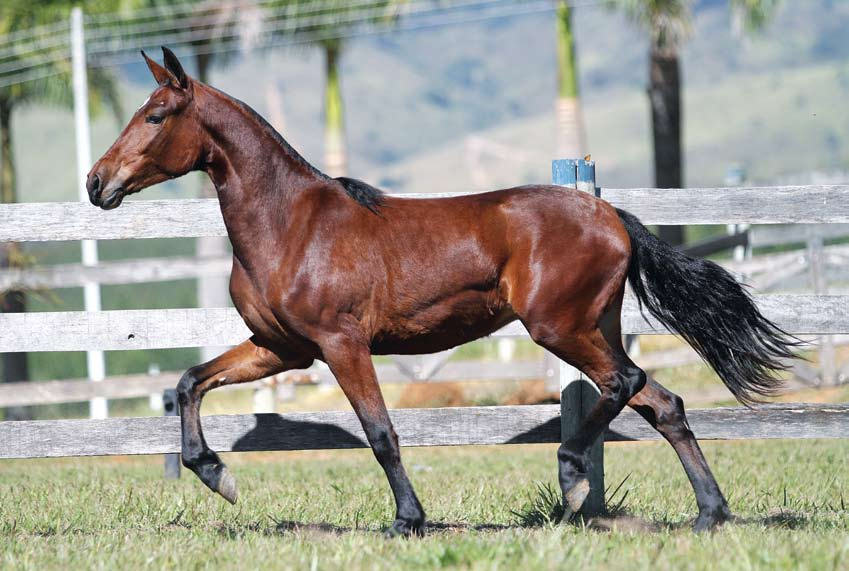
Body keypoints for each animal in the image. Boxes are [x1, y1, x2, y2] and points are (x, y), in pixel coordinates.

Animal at [88, 48, 796, 536]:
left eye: (155, 115)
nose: (97, 183)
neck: (290, 224)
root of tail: (611, 215)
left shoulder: (341, 344)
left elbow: (381, 433)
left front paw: (407, 521)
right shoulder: (280, 349)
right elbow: (189, 382)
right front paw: (218, 476)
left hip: (559, 327)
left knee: (628, 383)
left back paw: (571, 477)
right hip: (593, 327)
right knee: (663, 403)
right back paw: (709, 514)